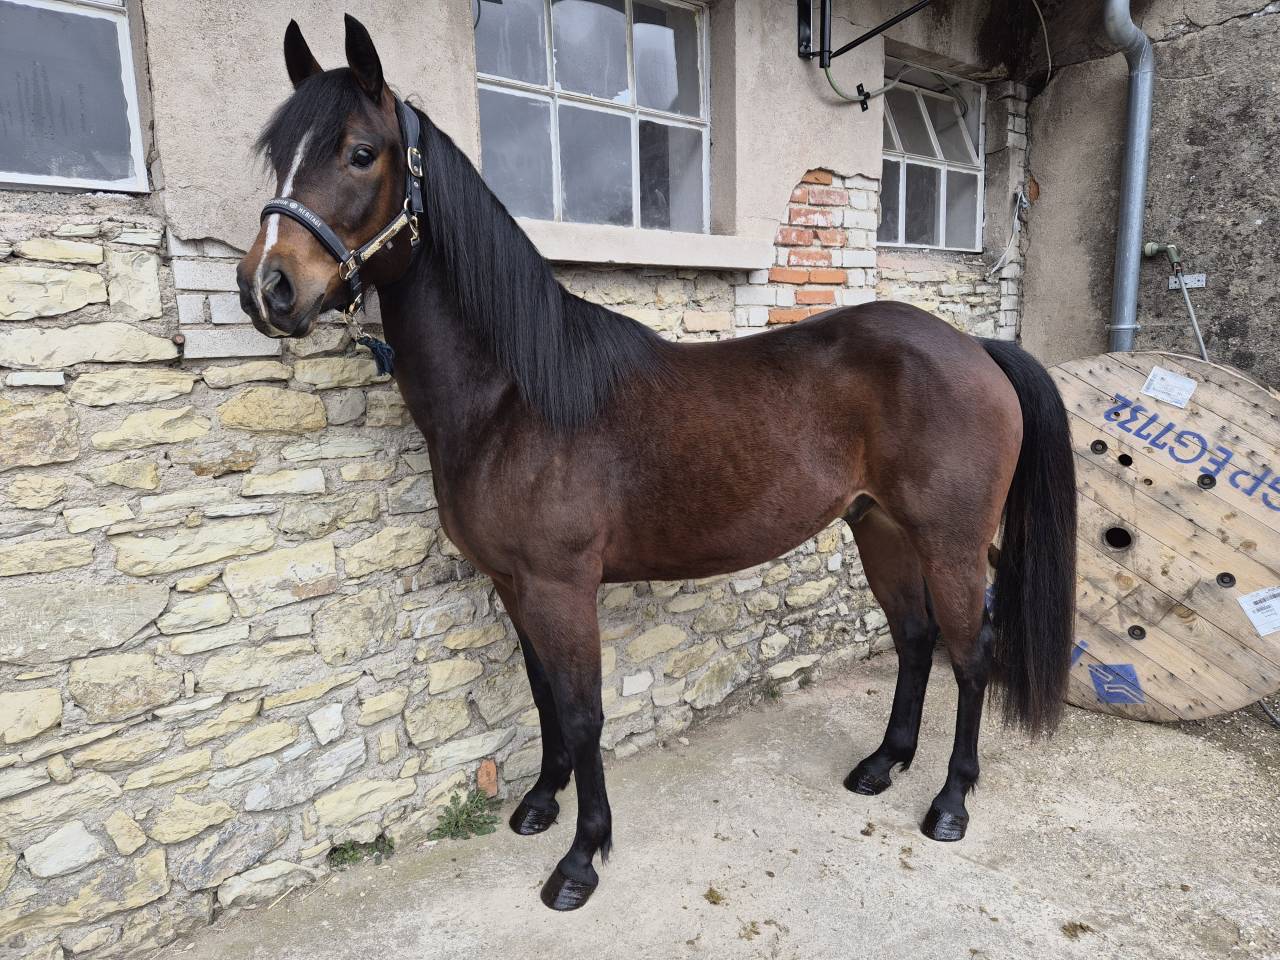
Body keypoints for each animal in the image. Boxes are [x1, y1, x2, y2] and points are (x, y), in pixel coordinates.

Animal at [236, 15, 1077, 912]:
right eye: (278, 155)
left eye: (361, 153)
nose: (269, 287)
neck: (513, 396)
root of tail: (977, 349)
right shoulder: (514, 584)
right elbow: (544, 696)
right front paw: (540, 804)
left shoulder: (561, 586)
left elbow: (583, 714)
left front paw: (581, 858)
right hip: (878, 526)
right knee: (915, 638)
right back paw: (883, 764)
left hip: (950, 541)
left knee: (970, 651)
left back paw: (950, 802)